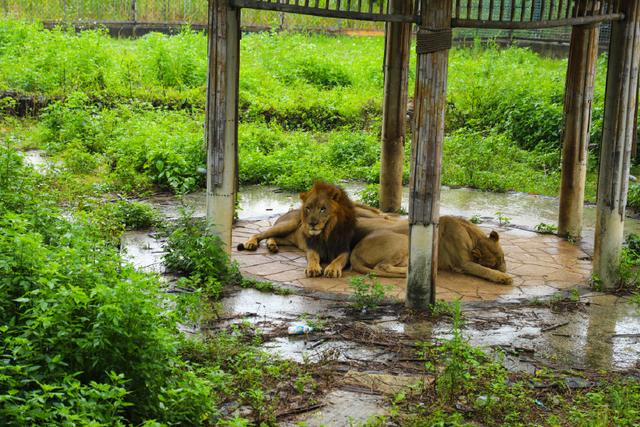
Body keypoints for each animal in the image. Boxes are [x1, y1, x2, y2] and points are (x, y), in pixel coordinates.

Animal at [348, 217, 512, 284]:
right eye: (497, 261)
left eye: (502, 258)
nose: (503, 269)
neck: (474, 239)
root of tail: (355, 250)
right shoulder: (463, 264)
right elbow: (482, 269)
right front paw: (503, 277)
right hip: (403, 241)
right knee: (382, 266)